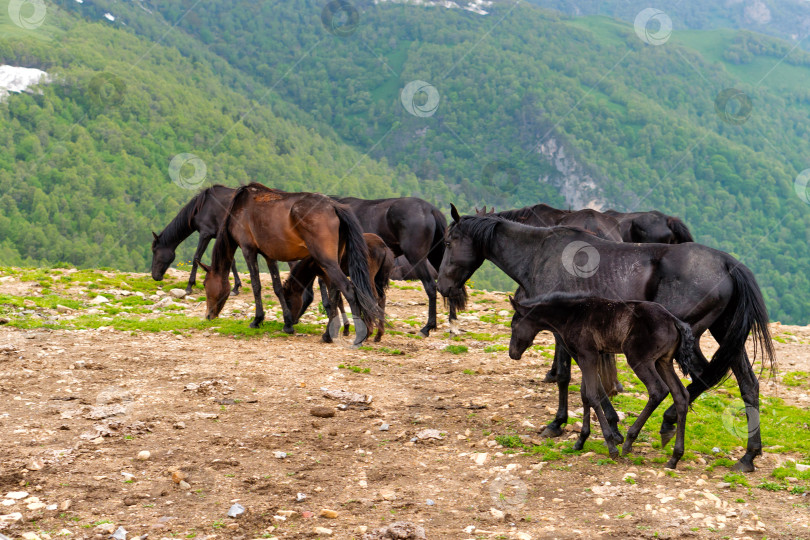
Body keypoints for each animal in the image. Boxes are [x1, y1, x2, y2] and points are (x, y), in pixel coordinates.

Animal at [199, 184, 382, 346]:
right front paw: (287, 324)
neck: (239, 208)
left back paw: (356, 336)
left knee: (348, 290)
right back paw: (328, 334)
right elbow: (277, 287)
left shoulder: (248, 250)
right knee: (336, 291)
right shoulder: (269, 256)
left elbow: (256, 285)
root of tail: (334, 206)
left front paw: (257, 320)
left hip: (326, 261)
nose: (208, 316)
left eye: (205, 284)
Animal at [512, 292, 696, 468]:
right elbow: (584, 395)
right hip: (663, 362)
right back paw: (675, 457)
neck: (571, 314)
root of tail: (674, 321)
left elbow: (593, 396)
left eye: (514, 325)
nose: (512, 353)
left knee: (658, 390)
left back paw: (629, 441)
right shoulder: (585, 357)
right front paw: (581, 440)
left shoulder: (588, 356)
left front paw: (611, 445)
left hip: (639, 359)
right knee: (681, 395)